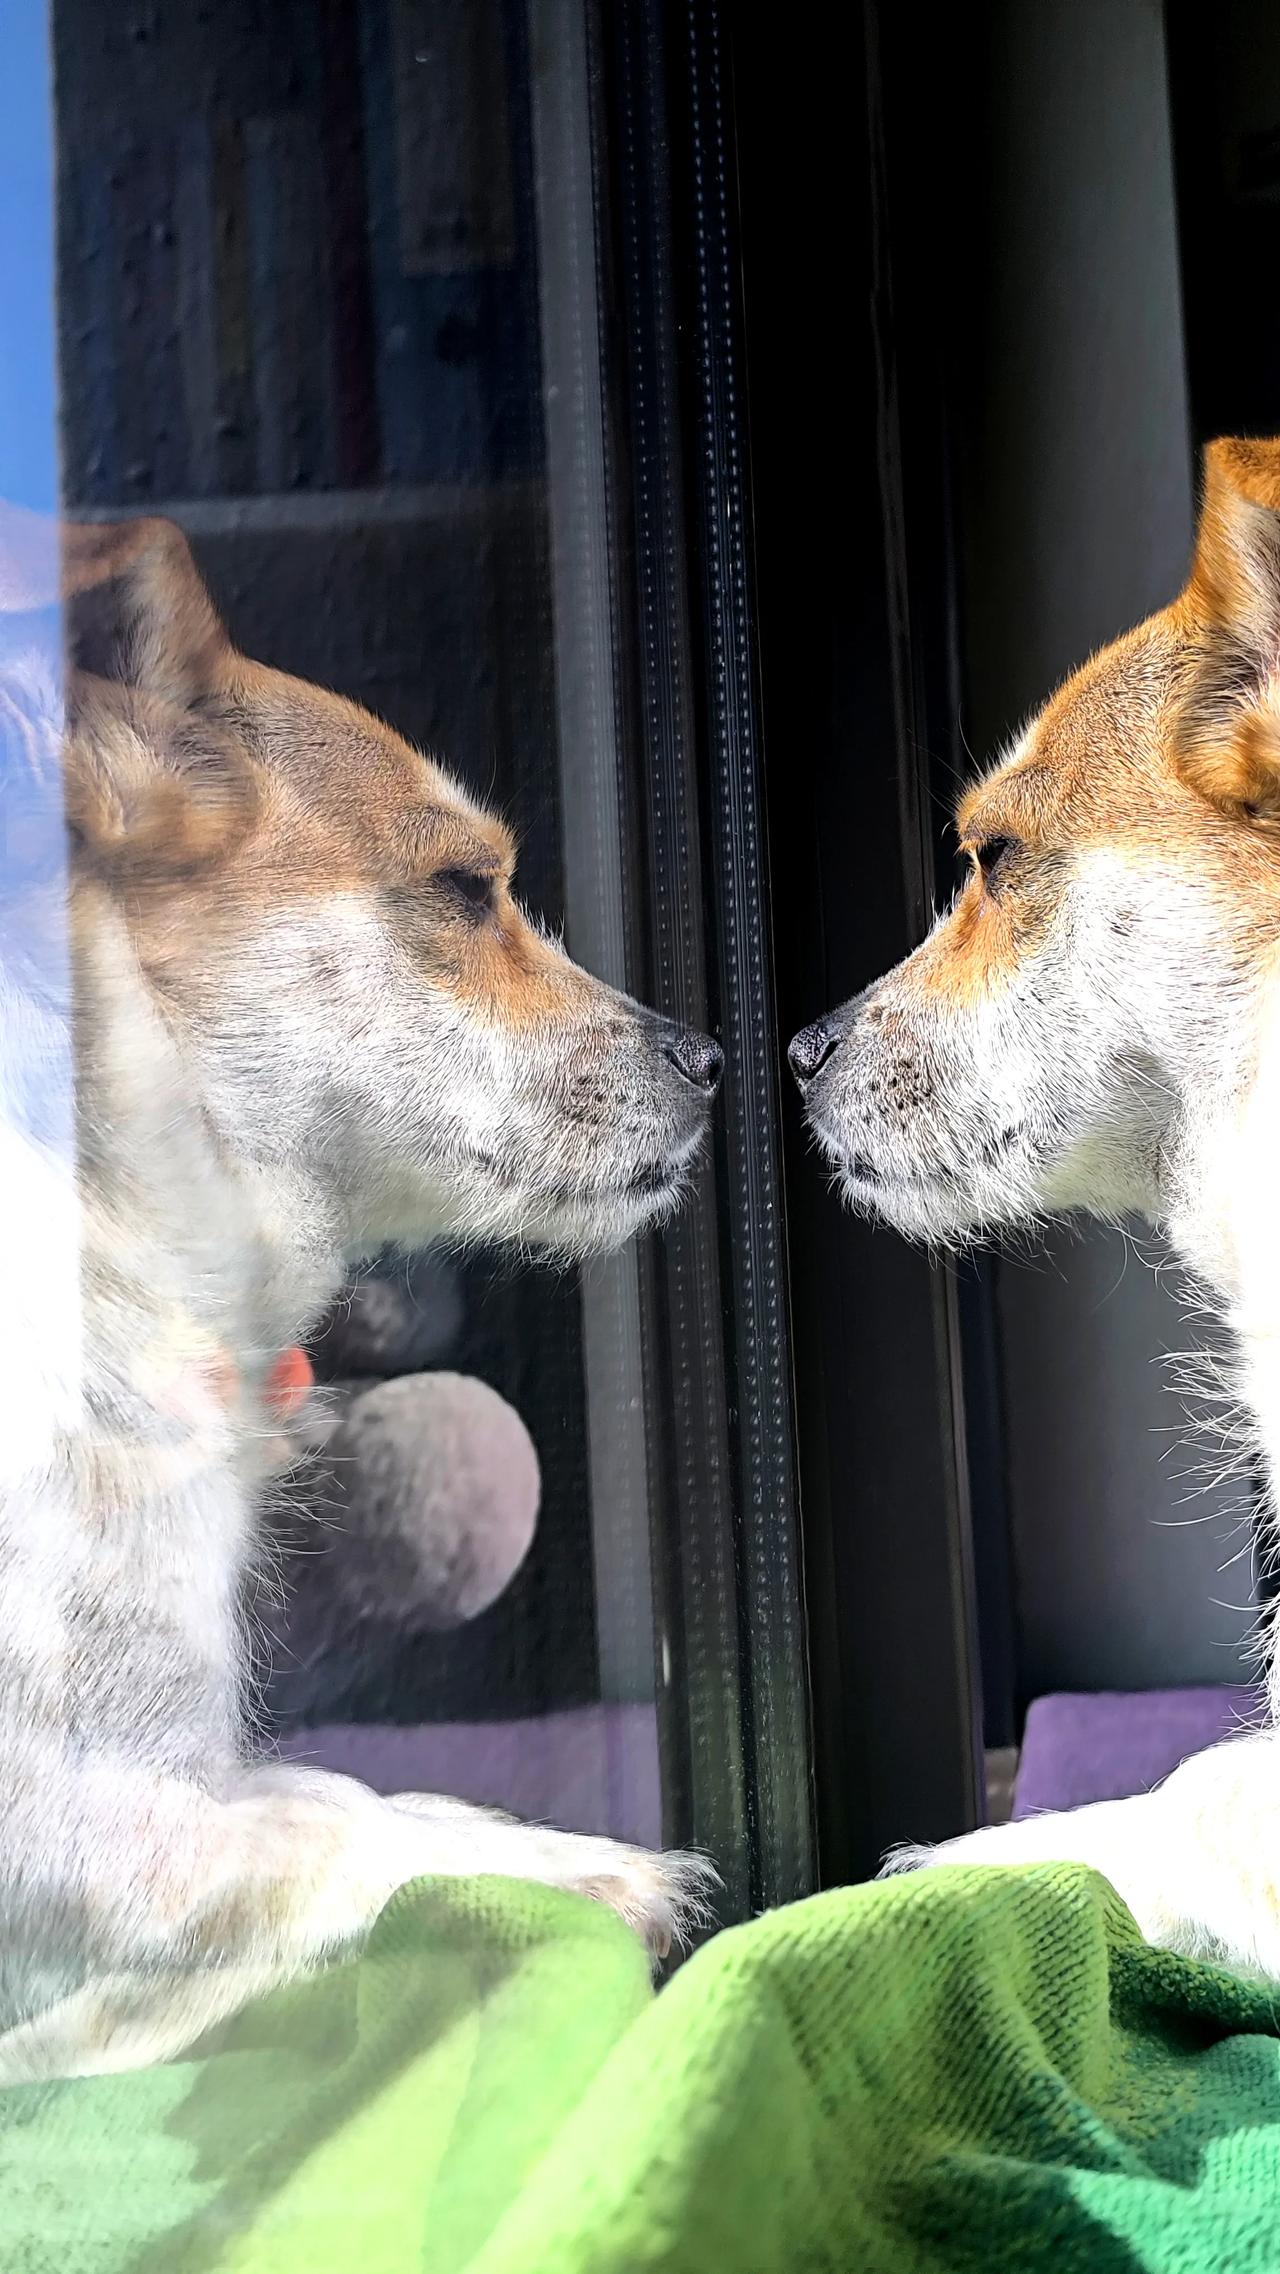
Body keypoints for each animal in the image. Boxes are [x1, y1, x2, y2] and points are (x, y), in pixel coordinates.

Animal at [0, 511, 722, 2082]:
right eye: (465, 888)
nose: (712, 1060)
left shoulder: (169, 1758)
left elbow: (343, 1791)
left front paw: (539, 1842)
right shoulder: (74, 1828)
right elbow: (325, 1833)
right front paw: (603, 1870)